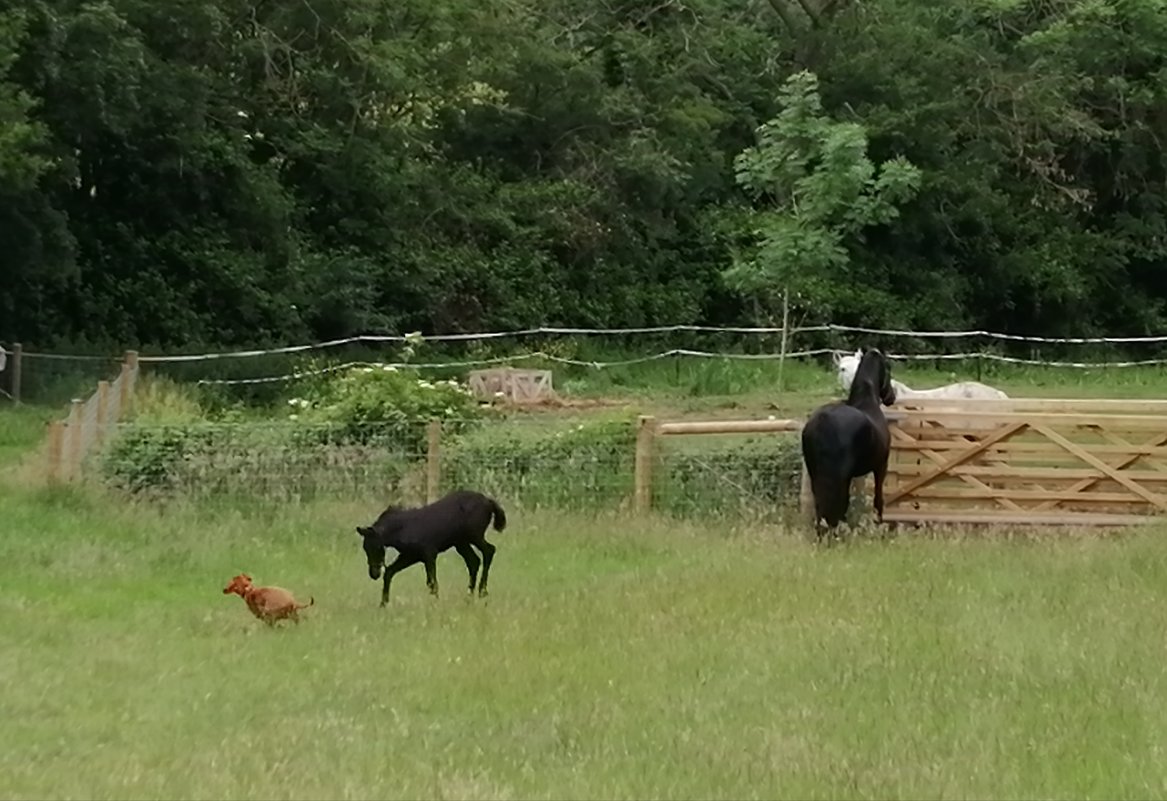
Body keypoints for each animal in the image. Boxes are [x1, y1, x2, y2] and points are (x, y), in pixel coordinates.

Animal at [798, 345, 896, 539]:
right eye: (888, 368)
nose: (891, 397)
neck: (867, 401)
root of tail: (821, 422)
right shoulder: (881, 466)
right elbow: (877, 497)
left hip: (816, 475)